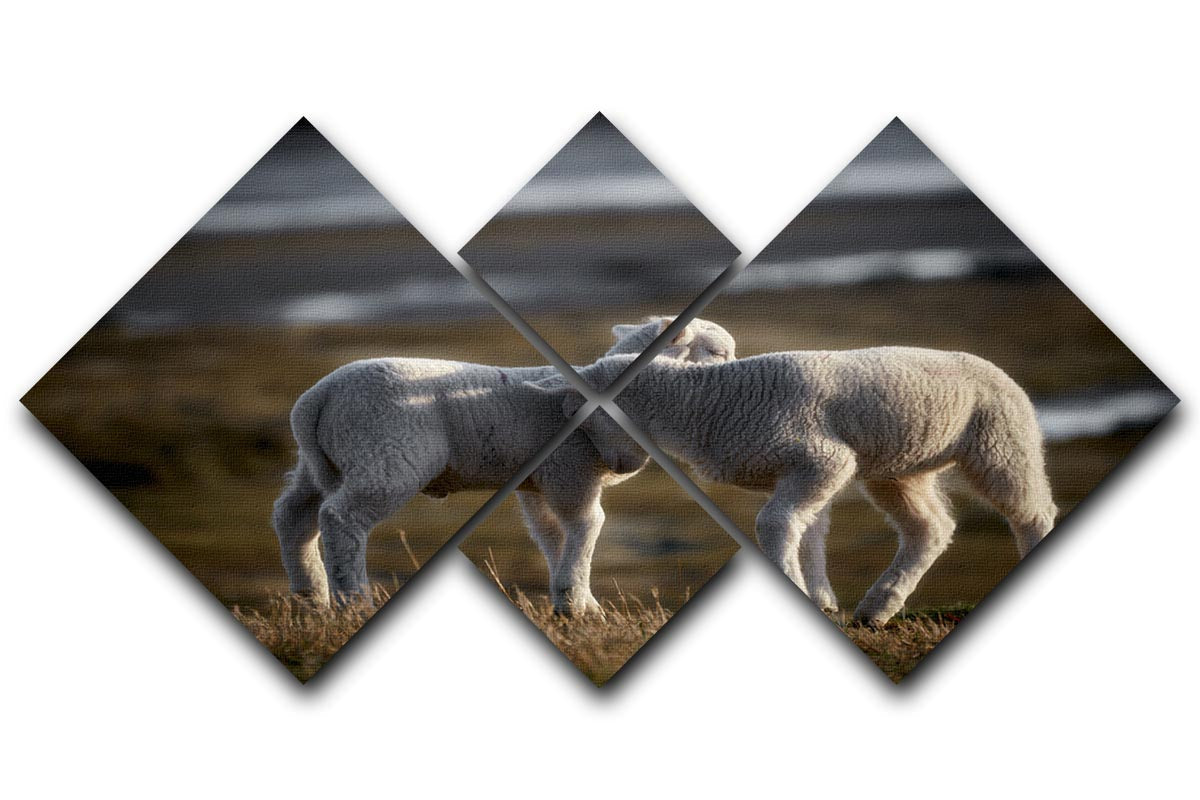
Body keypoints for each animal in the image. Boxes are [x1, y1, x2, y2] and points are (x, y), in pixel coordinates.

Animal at [271, 316, 736, 614]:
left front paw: (577, 603)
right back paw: (353, 600)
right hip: (386, 454)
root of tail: (317, 398)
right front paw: (577, 602)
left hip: (324, 461)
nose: (735, 371)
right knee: (341, 518)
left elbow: (550, 535)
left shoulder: (541, 483)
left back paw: (310, 596)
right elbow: (587, 525)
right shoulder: (571, 471)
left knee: (293, 515)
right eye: (716, 351)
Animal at [528, 347, 1058, 625]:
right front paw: (821, 599)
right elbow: (808, 533)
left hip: (1000, 440)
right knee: (930, 528)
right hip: (899, 467)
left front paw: (799, 588)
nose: (616, 467)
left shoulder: (823, 457)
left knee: (1031, 511)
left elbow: (776, 524)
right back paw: (876, 609)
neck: (705, 404)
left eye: (585, 418)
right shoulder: (794, 469)